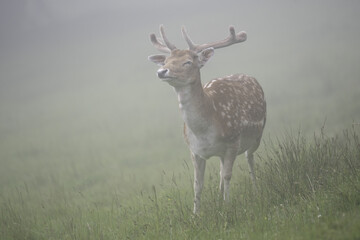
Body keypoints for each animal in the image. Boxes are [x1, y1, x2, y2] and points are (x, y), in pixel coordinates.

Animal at [148, 24, 266, 214]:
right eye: (166, 61)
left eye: (188, 62)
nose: (162, 71)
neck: (205, 130)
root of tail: (249, 76)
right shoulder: (194, 150)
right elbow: (198, 184)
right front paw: (195, 214)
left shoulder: (233, 142)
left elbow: (228, 175)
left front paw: (227, 207)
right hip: (223, 152)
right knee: (221, 169)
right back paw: (219, 197)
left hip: (258, 133)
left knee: (249, 157)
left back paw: (255, 190)